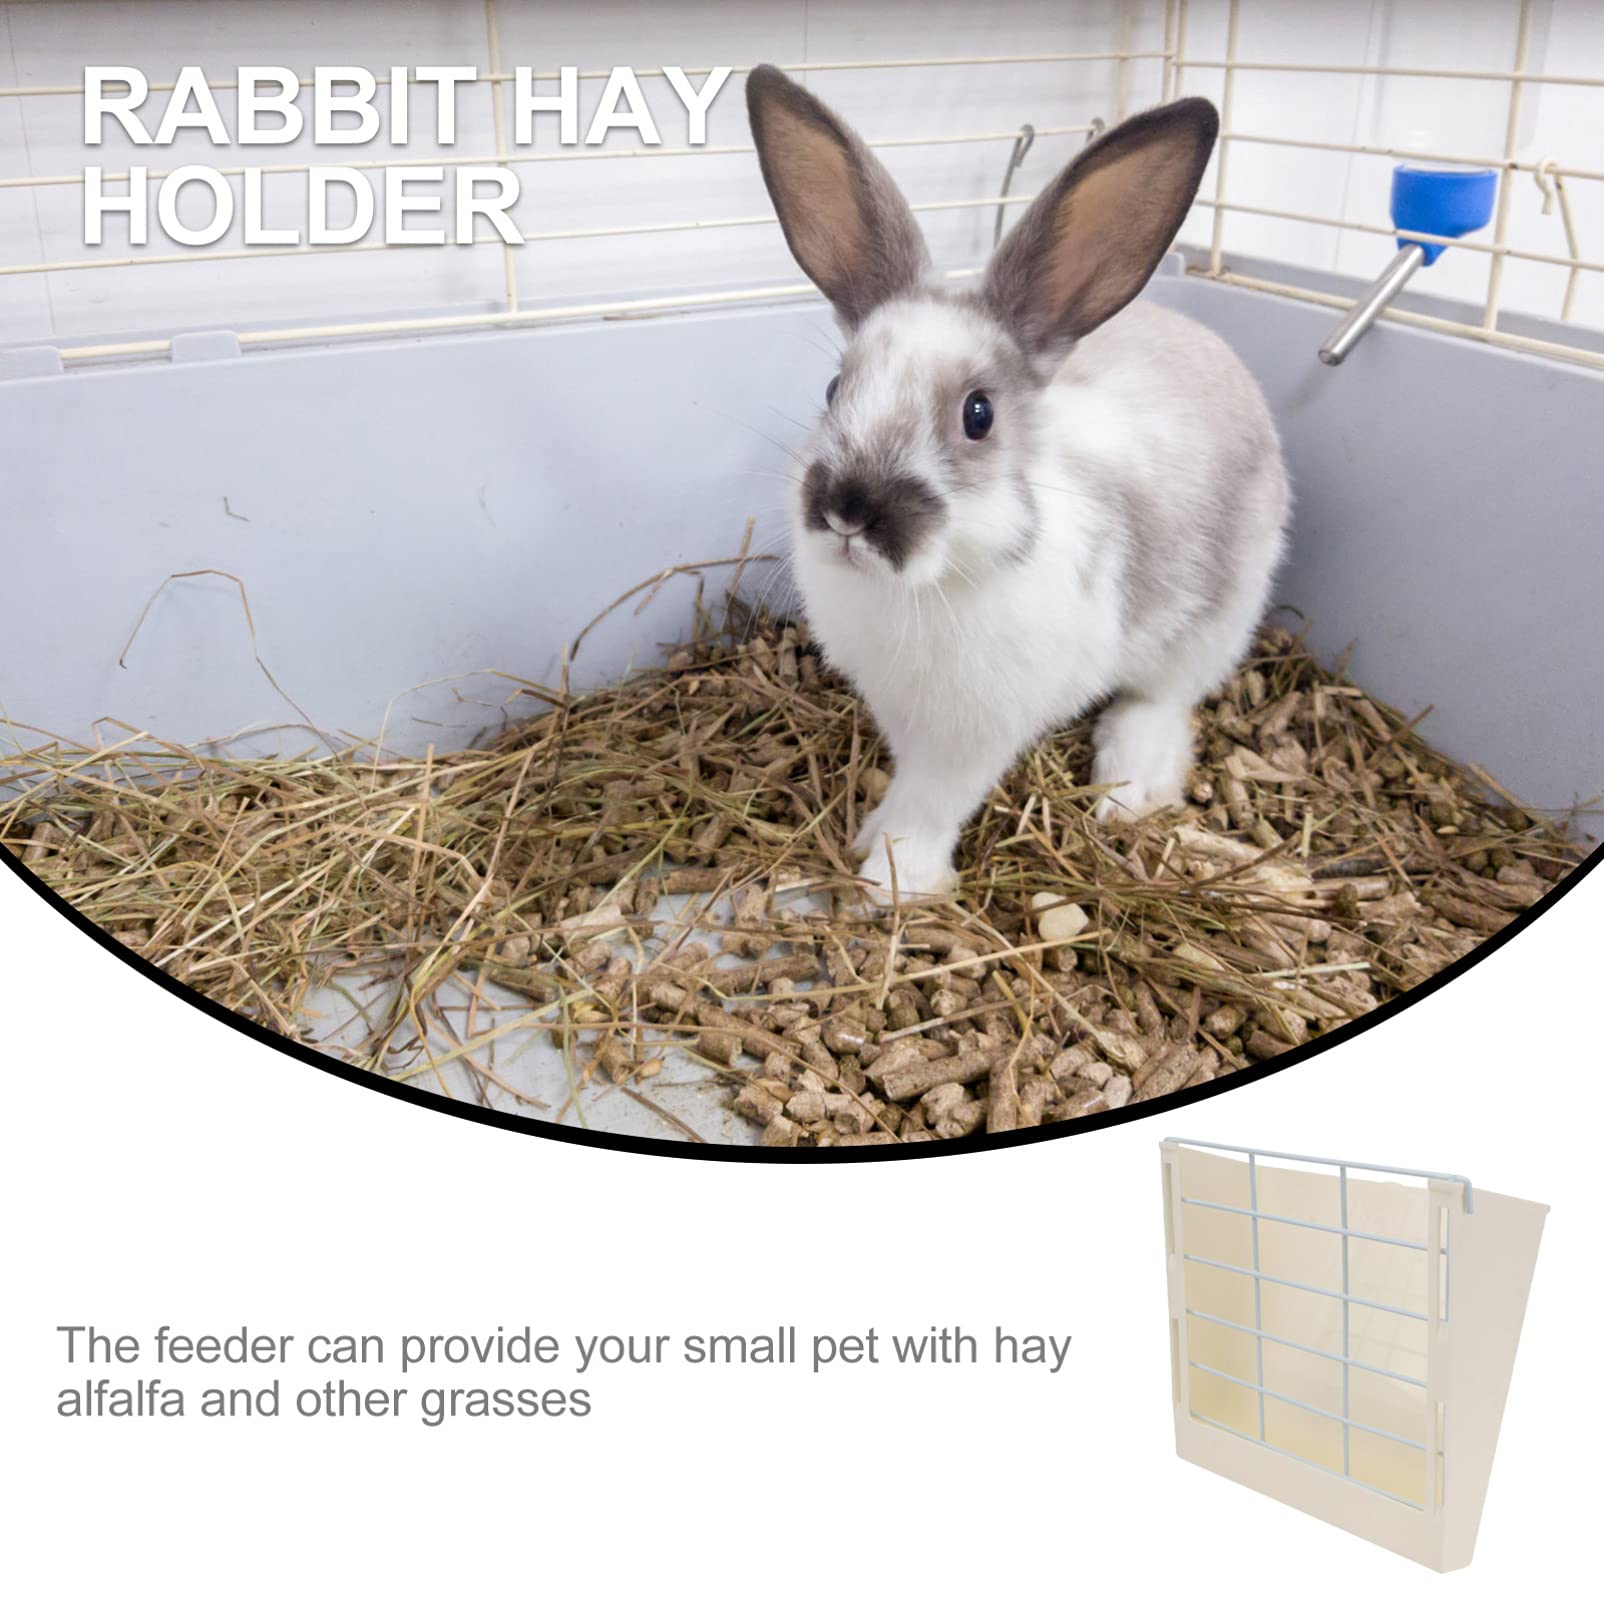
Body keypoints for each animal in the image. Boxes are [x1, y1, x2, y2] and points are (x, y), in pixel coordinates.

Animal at [745, 66, 1290, 900]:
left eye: (979, 415)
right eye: (835, 387)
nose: (848, 510)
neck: (928, 585)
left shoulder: (974, 737)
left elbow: (932, 805)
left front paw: (893, 882)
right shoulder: (902, 715)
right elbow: (905, 784)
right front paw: (871, 833)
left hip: (1217, 618)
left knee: (1165, 698)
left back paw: (1129, 783)